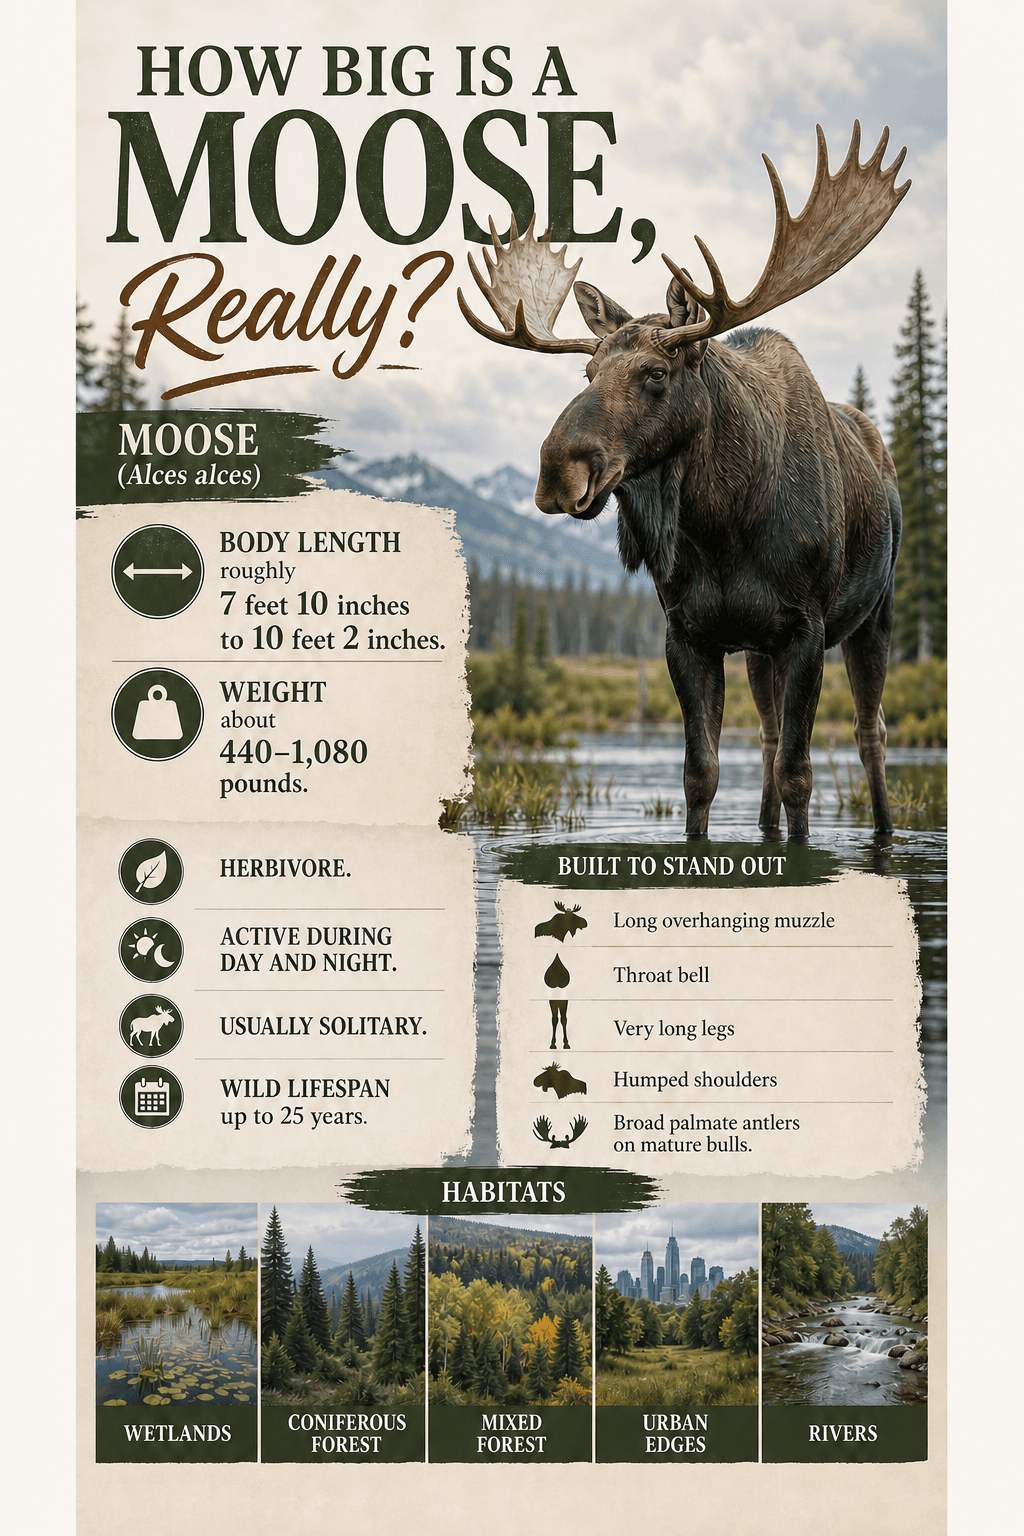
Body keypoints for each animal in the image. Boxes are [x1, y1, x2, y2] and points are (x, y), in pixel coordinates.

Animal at [459, 123, 909, 840]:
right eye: (586, 374)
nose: (557, 470)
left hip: (875, 612)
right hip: (758, 648)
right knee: (768, 735)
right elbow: (703, 774)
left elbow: (801, 774)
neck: (724, 525)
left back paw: (885, 831)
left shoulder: (807, 626)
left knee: (871, 734)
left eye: (655, 373)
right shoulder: (690, 632)